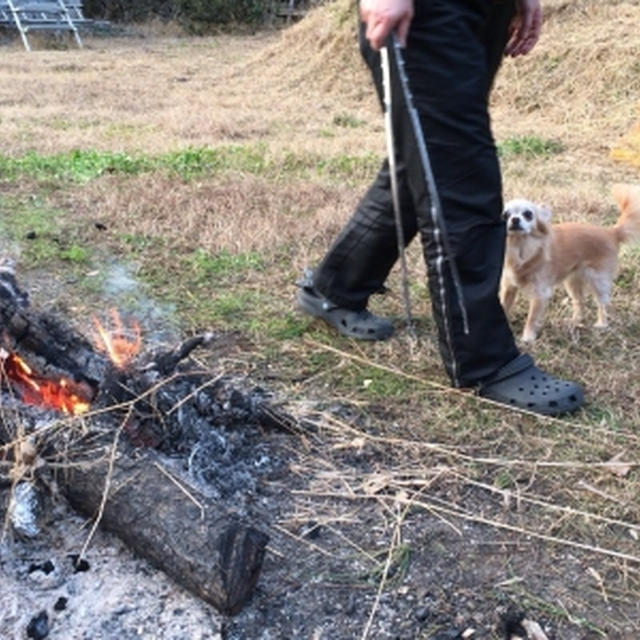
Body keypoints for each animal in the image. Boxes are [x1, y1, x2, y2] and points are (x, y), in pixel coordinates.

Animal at [500, 184, 640, 342]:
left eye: (528, 214)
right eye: (505, 215)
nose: (515, 219)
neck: (521, 247)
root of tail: (611, 233)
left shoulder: (540, 293)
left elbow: (531, 318)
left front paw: (528, 337)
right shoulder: (509, 286)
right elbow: (503, 306)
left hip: (598, 280)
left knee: (602, 304)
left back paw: (601, 324)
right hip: (573, 282)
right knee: (580, 302)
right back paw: (575, 321)